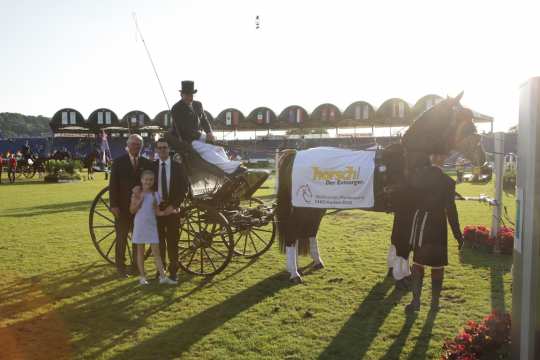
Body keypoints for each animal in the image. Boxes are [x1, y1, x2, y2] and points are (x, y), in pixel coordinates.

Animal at [276, 91, 488, 282]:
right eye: (461, 119)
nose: (482, 156)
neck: (407, 161)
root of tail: (296, 153)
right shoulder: (406, 209)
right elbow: (402, 242)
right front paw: (402, 275)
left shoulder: (403, 210)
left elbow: (397, 239)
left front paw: (394, 269)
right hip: (302, 207)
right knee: (292, 234)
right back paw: (294, 273)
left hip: (315, 207)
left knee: (309, 231)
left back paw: (315, 262)